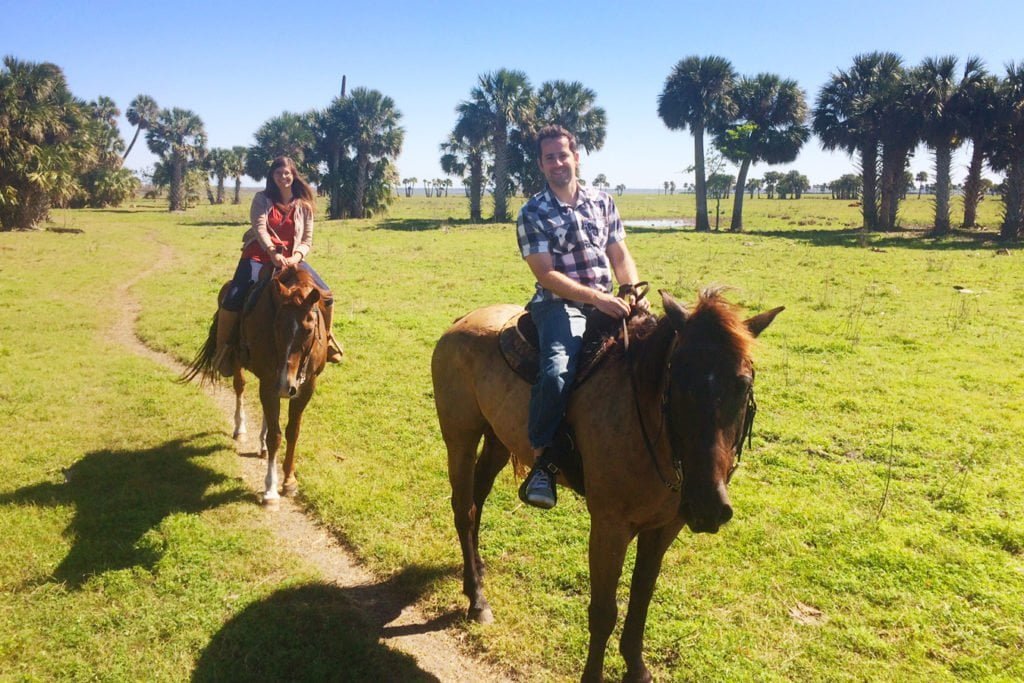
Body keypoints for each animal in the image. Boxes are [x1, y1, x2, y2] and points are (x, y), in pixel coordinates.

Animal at [184, 266, 325, 507]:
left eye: (308, 329)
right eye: (276, 325)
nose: (286, 385)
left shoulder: (306, 387)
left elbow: (292, 432)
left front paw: (289, 481)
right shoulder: (270, 382)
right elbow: (275, 436)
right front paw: (270, 489)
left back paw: (262, 447)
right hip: (239, 361)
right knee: (240, 388)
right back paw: (240, 429)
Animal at [432, 290, 782, 683]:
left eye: (743, 385)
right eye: (676, 381)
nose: (708, 506)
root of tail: (463, 321)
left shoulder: (665, 527)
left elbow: (641, 597)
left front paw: (637, 668)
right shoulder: (609, 527)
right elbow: (603, 611)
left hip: (497, 439)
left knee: (477, 501)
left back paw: (474, 576)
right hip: (460, 437)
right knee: (464, 510)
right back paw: (477, 600)